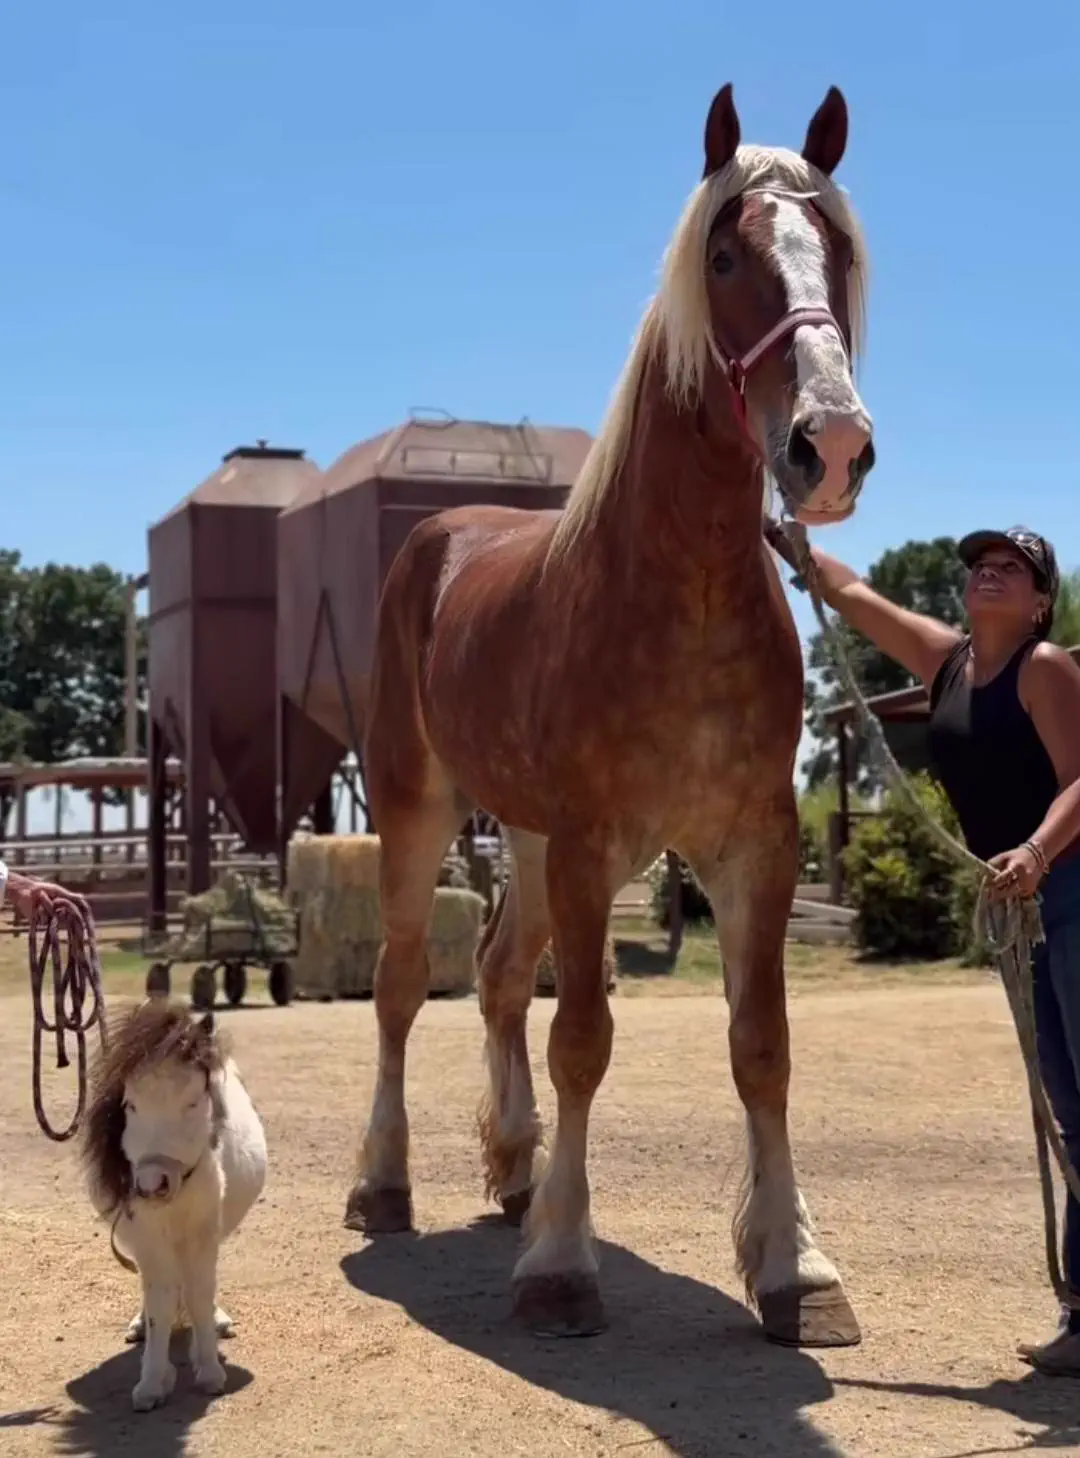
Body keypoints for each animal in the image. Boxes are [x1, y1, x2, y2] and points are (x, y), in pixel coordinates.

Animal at [82, 1000, 267, 1411]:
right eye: (129, 1105)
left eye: (194, 1102)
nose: (153, 1184)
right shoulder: (148, 1235)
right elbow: (160, 1302)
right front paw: (152, 1382)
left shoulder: (202, 1232)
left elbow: (199, 1294)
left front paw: (209, 1370)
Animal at [344, 81, 875, 1348]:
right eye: (725, 255)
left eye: (836, 250)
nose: (829, 446)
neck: (680, 593)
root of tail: (442, 535)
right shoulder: (594, 848)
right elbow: (581, 1039)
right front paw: (560, 1271)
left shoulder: (752, 850)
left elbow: (762, 1048)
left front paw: (796, 1271)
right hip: (421, 812)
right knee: (401, 986)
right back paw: (386, 1186)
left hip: (531, 846)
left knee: (494, 976)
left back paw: (517, 1176)